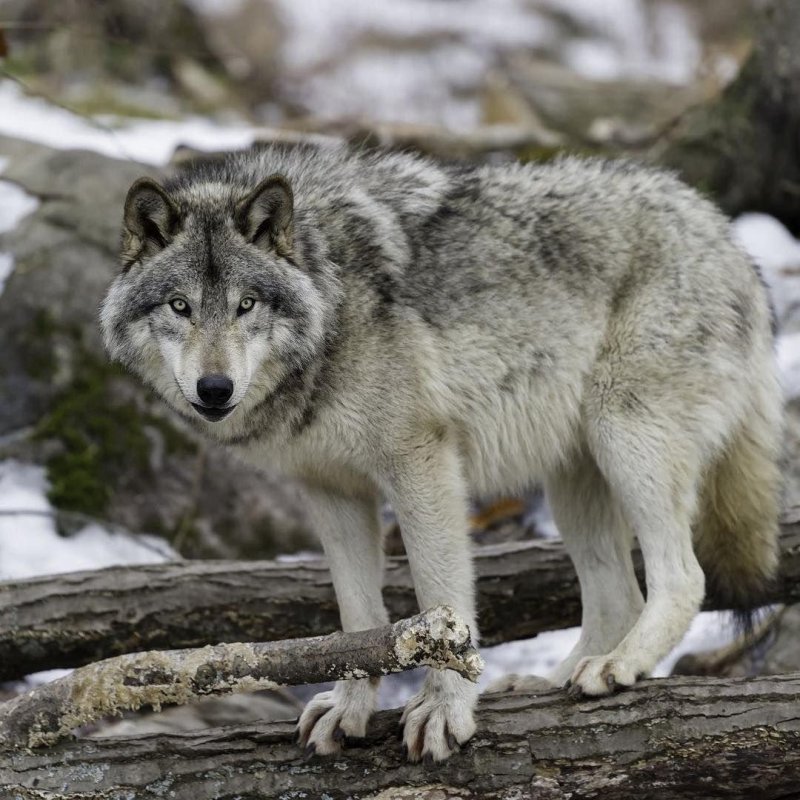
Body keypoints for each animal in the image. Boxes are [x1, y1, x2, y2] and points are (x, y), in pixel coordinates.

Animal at [100, 144, 780, 764]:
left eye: (246, 304)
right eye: (180, 306)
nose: (215, 389)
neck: (332, 296)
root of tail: (726, 234)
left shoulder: (421, 467)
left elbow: (440, 599)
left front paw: (446, 710)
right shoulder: (332, 491)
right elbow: (357, 617)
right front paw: (350, 710)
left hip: (626, 439)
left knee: (683, 578)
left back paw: (618, 666)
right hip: (573, 482)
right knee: (620, 597)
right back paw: (550, 680)